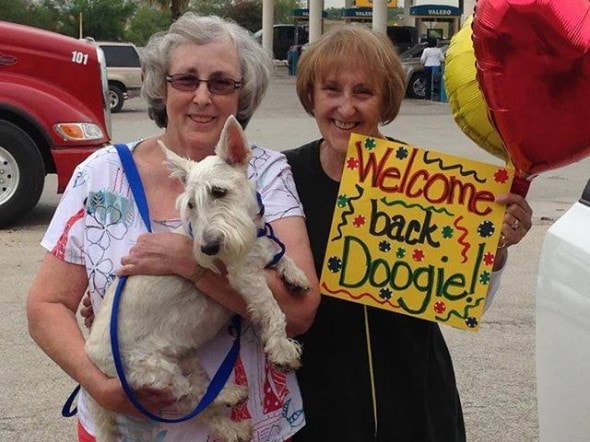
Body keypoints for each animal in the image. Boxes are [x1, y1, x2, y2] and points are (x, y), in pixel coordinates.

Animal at [86, 115, 314, 440]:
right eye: (190, 204)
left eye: (218, 192)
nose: (208, 247)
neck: (249, 232)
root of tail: (91, 361)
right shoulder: (244, 275)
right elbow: (272, 308)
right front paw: (283, 349)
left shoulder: (259, 248)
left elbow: (280, 254)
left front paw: (295, 275)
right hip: (151, 370)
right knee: (188, 395)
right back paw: (228, 395)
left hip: (184, 357)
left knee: (201, 402)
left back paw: (233, 425)